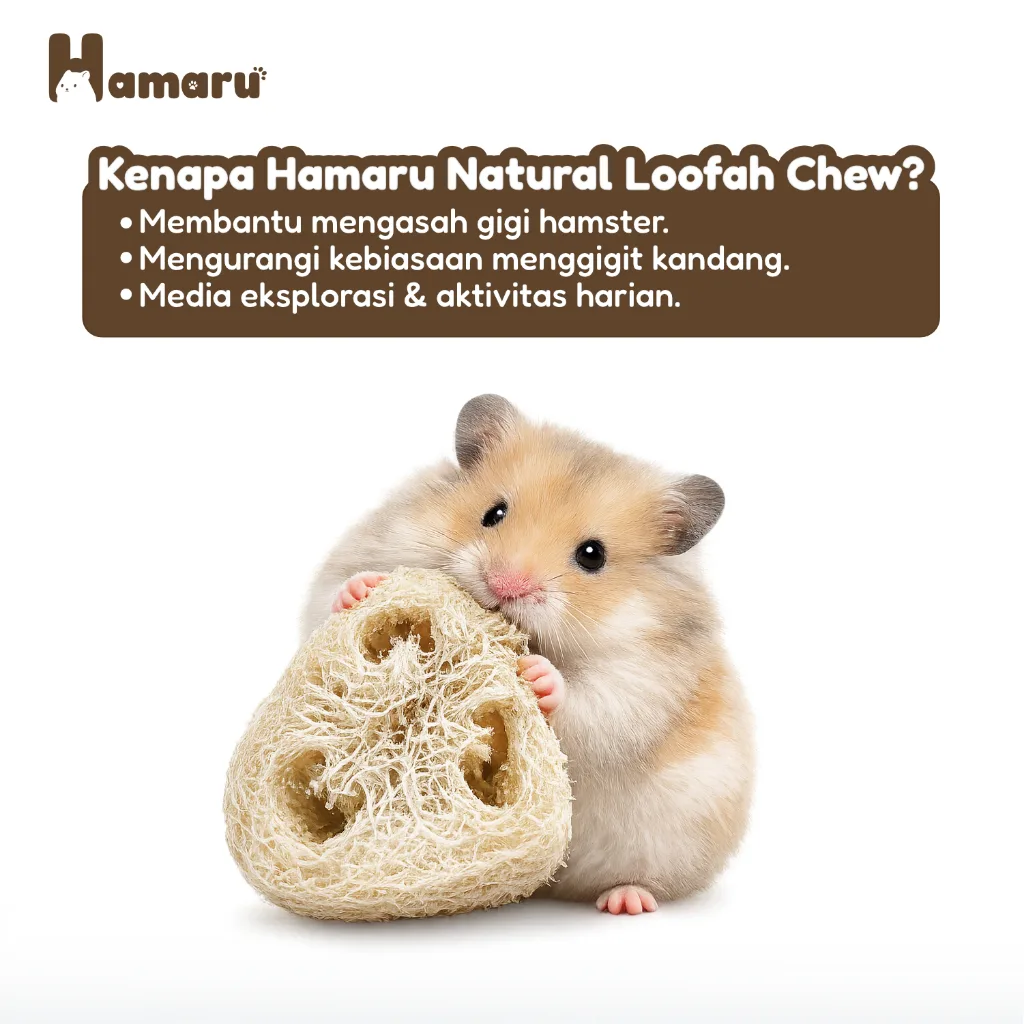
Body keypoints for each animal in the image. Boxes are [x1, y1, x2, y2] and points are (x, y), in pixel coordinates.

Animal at [302, 395, 754, 914]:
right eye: (494, 513)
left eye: (593, 555)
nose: (504, 586)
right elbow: (332, 601)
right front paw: (361, 589)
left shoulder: (643, 684)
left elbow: (591, 704)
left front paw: (539, 675)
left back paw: (625, 900)